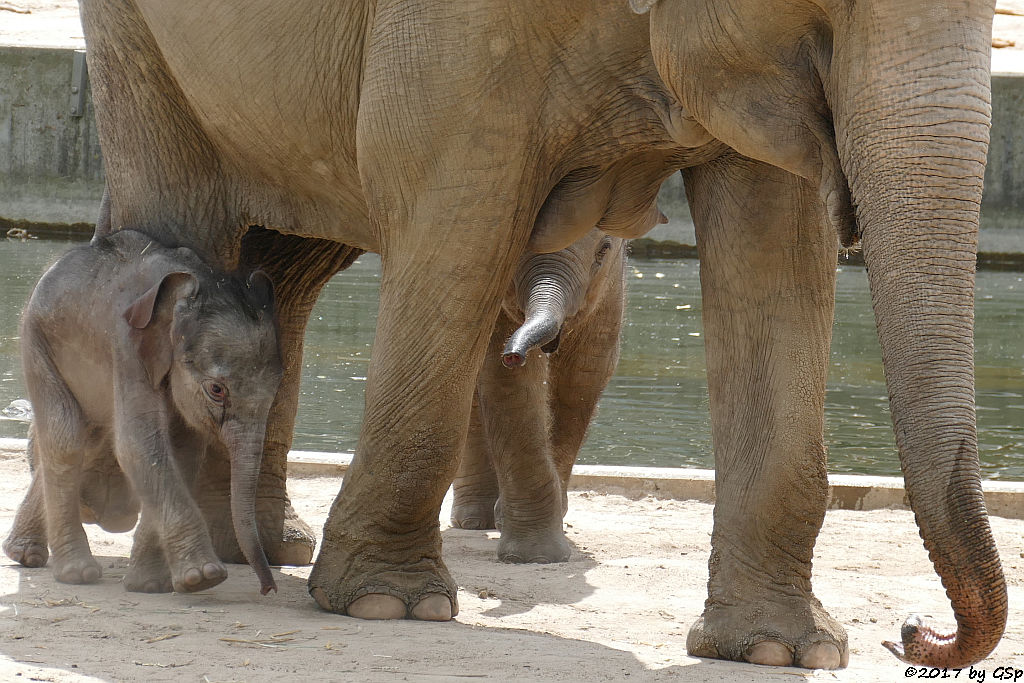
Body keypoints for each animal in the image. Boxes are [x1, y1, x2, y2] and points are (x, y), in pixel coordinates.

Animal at [2, 229, 282, 593]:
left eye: (277, 387)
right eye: (217, 390)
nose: (267, 588)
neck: (200, 282)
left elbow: (181, 453)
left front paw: (152, 585)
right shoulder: (127, 348)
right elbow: (139, 447)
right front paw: (205, 578)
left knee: (88, 438)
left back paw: (24, 554)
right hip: (37, 342)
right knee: (66, 439)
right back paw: (77, 574)